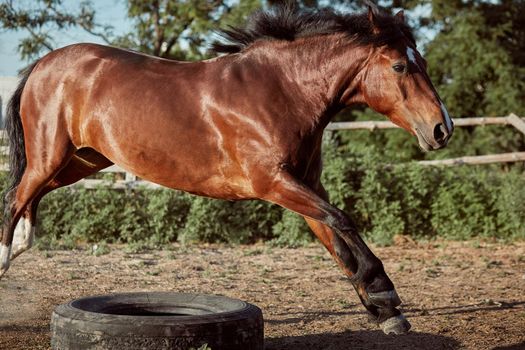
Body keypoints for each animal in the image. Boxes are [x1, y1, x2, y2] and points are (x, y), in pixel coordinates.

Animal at [1, 4, 450, 334]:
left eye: (424, 61)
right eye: (400, 66)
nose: (441, 129)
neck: (282, 90)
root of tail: (43, 65)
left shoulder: (306, 185)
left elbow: (337, 243)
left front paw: (385, 312)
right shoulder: (273, 183)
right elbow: (343, 221)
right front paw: (384, 296)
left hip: (81, 160)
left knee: (27, 200)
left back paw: (20, 247)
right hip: (50, 158)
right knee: (14, 200)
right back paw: (4, 265)